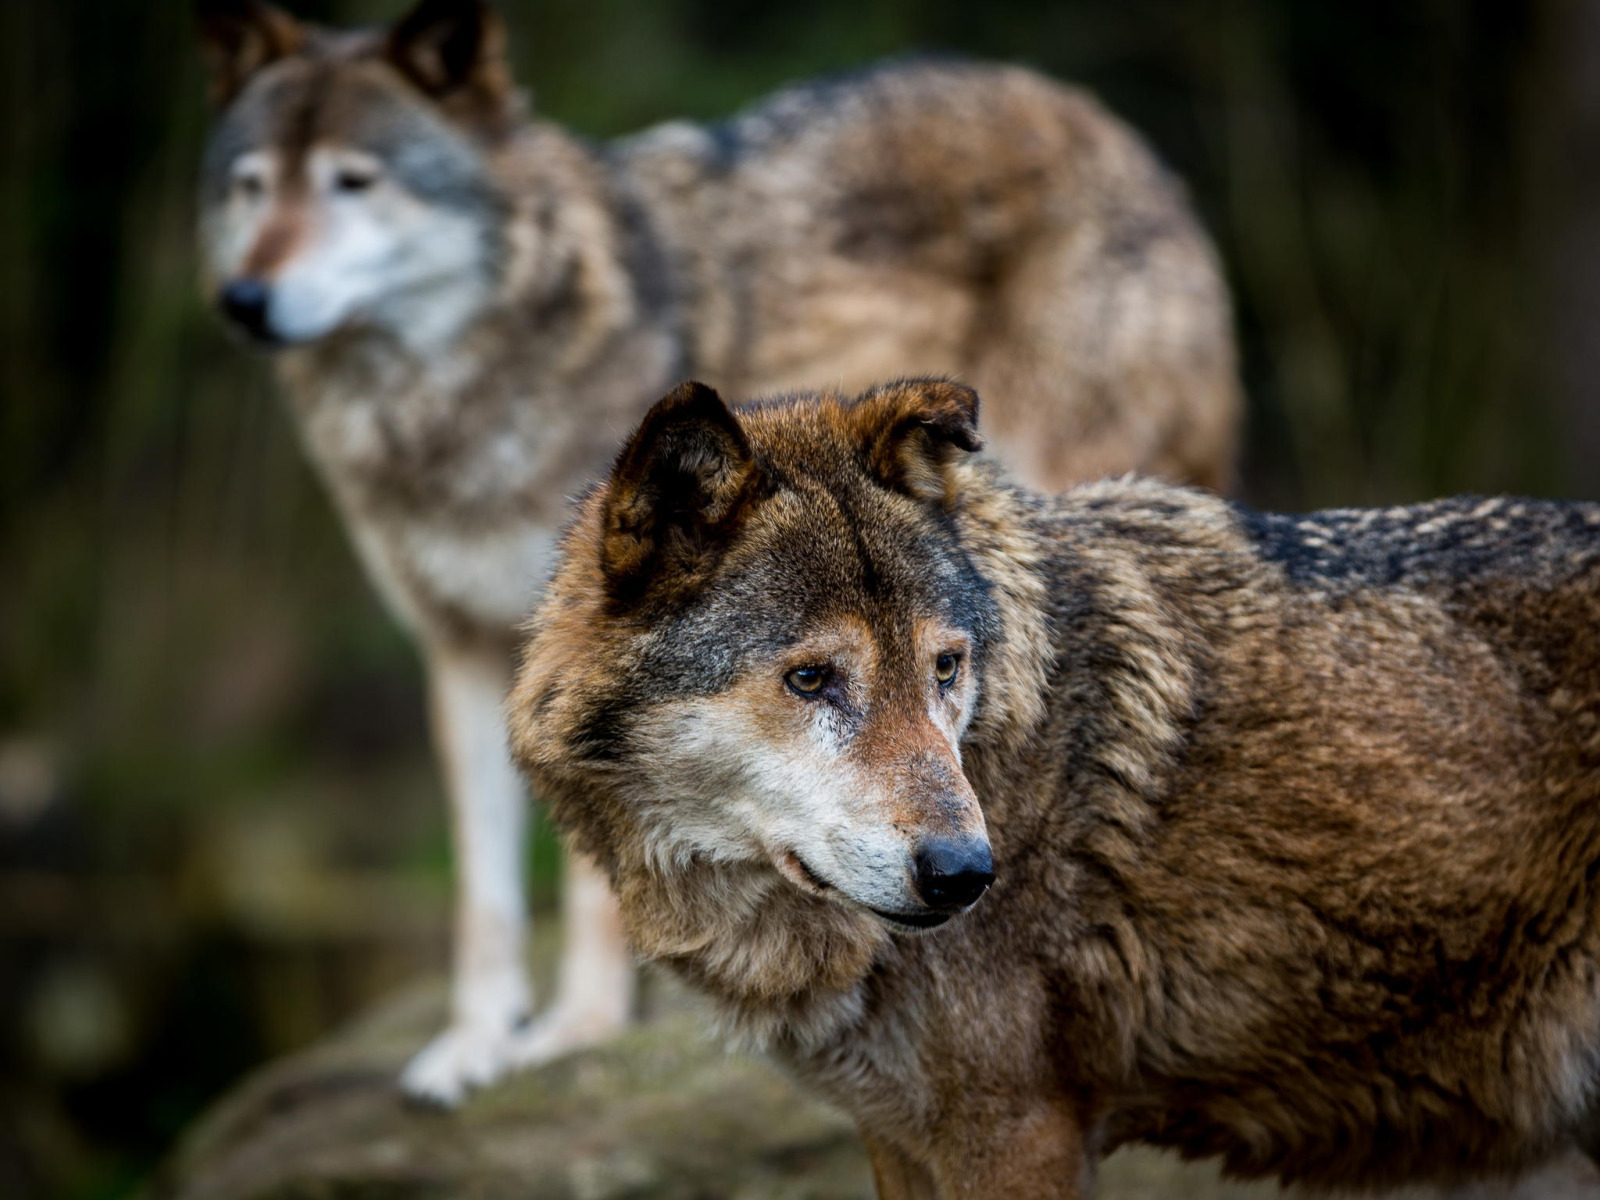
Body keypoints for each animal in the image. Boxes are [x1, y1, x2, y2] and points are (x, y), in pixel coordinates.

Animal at [193, 0, 1241, 1107]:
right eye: (252, 185)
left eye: (355, 182)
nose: (243, 298)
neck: (457, 399)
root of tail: (1092, 116)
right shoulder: (462, 650)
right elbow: (484, 888)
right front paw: (476, 1044)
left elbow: (596, 881)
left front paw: (578, 1033)